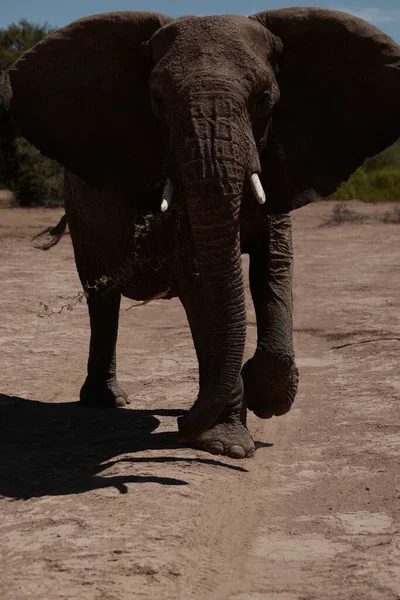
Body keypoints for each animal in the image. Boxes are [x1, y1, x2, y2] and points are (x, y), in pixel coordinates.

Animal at [1, 7, 398, 460]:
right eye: (156, 98)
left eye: (265, 98)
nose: (180, 427)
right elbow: (201, 284)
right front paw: (227, 443)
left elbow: (274, 267)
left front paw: (265, 398)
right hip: (80, 208)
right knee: (101, 298)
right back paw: (107, 401)